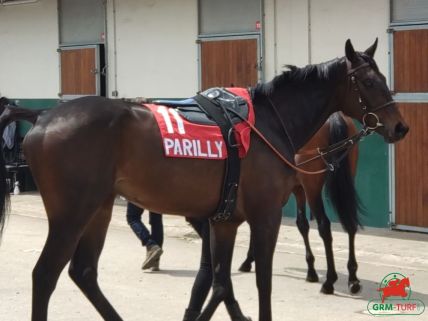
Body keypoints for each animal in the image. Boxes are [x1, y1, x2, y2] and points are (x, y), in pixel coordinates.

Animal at [239, 112, 362, 296]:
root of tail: (334, 117)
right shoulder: (298, 190)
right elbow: (302, 224)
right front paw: (311, 270)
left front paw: (248, 260)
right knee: (350, 223)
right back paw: (353, 278)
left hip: (313, 187)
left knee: (324, 226)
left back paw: (329, 281)